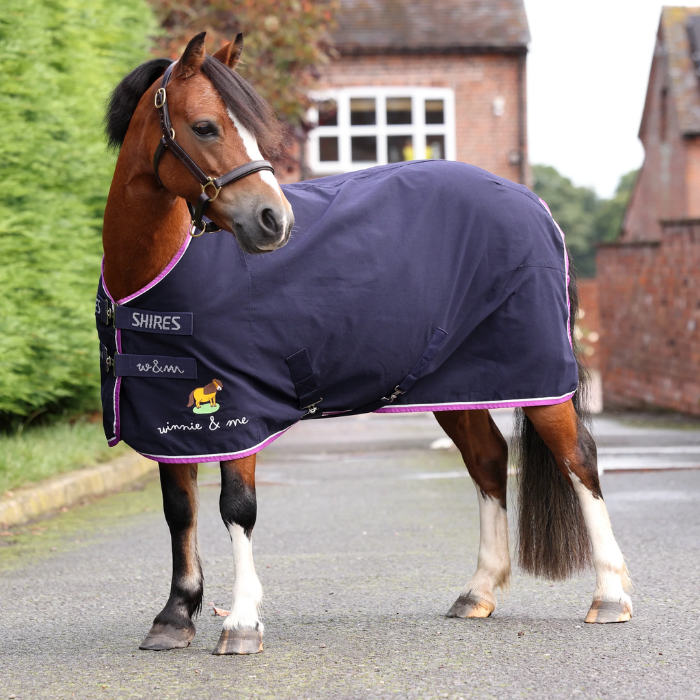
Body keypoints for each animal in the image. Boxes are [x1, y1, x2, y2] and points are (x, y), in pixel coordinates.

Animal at [100, 32, 632, 655]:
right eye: (205, 127)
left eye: (253, 129)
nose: (274, 220)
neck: (161, 272)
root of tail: (534, 203)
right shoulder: (169, 413)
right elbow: (179, 510)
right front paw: (175, 616)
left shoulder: (240, 411)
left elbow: (237, 508)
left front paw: (241, 622)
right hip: (458, 386)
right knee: (488, 459)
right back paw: (478, 592)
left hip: (540, 381)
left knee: (580, 460)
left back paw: (609, 596)